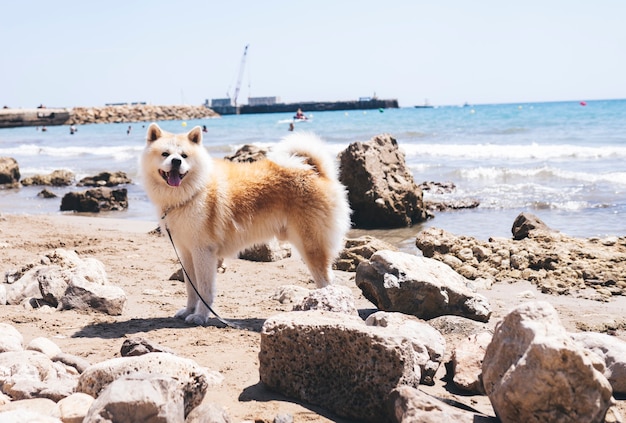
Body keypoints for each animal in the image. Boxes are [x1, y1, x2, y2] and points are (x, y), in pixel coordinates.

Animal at [140, 124, 352, 326]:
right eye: (165, 154)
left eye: (184, 156)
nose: (176, 161)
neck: (193, 192)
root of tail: (317, 172)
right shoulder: (186, 252)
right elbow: (192, 289)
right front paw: (188, 311)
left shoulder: (203, 252)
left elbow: (204, 290)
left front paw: (200, 316)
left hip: (311, 246)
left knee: (326, 281)